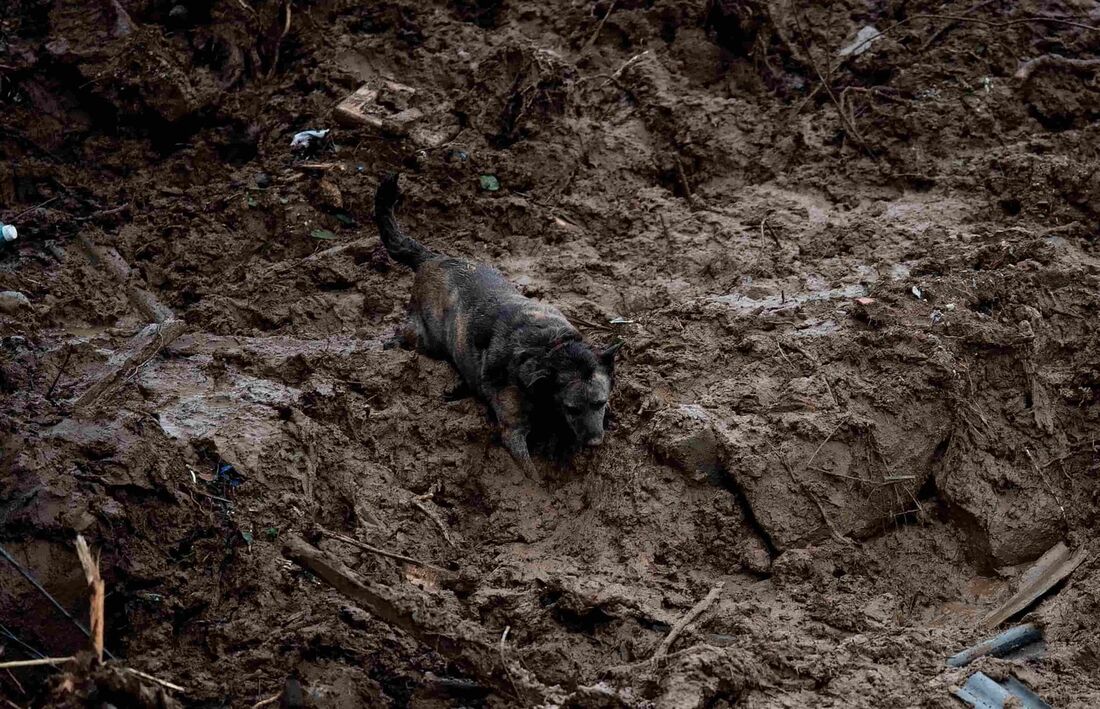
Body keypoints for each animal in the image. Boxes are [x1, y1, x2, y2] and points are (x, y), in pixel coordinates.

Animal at [376, 172, 620, 472]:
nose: (595, 443)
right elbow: (530, 472)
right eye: (572, 408)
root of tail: (431, 257)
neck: (549, 349)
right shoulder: (512, 431)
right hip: (427, 339)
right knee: (408, 333)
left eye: (600, 402)